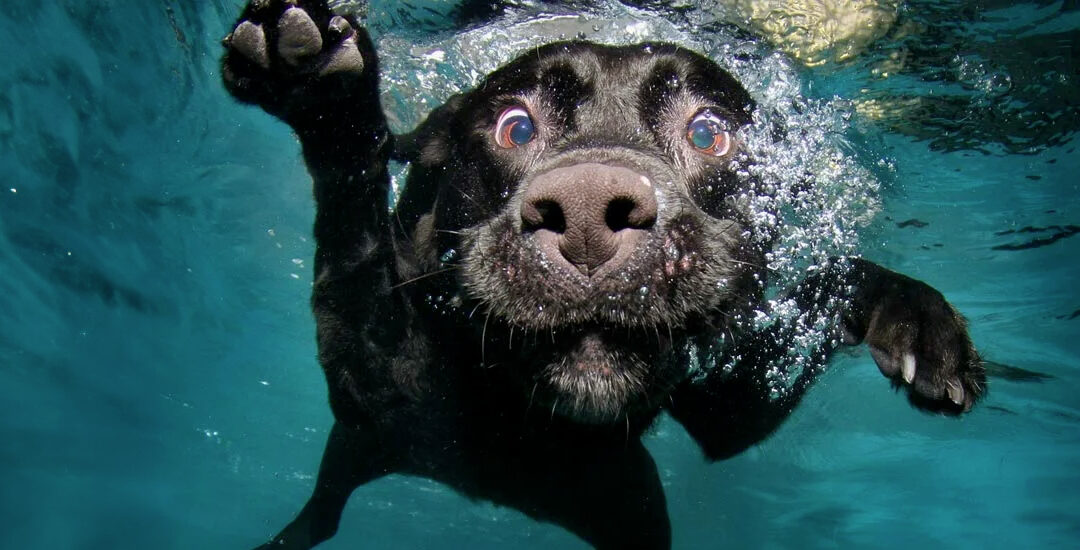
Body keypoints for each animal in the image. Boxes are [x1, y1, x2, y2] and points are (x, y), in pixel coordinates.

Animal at [219, 2, 989, 546]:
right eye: (515, 127)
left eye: (708, 132)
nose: (588, 214)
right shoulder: (372, 372)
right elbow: (353, 233)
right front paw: (322, 86)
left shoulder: (726, 407)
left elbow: (834, 280)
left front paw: (919, 320)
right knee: (321, 515)